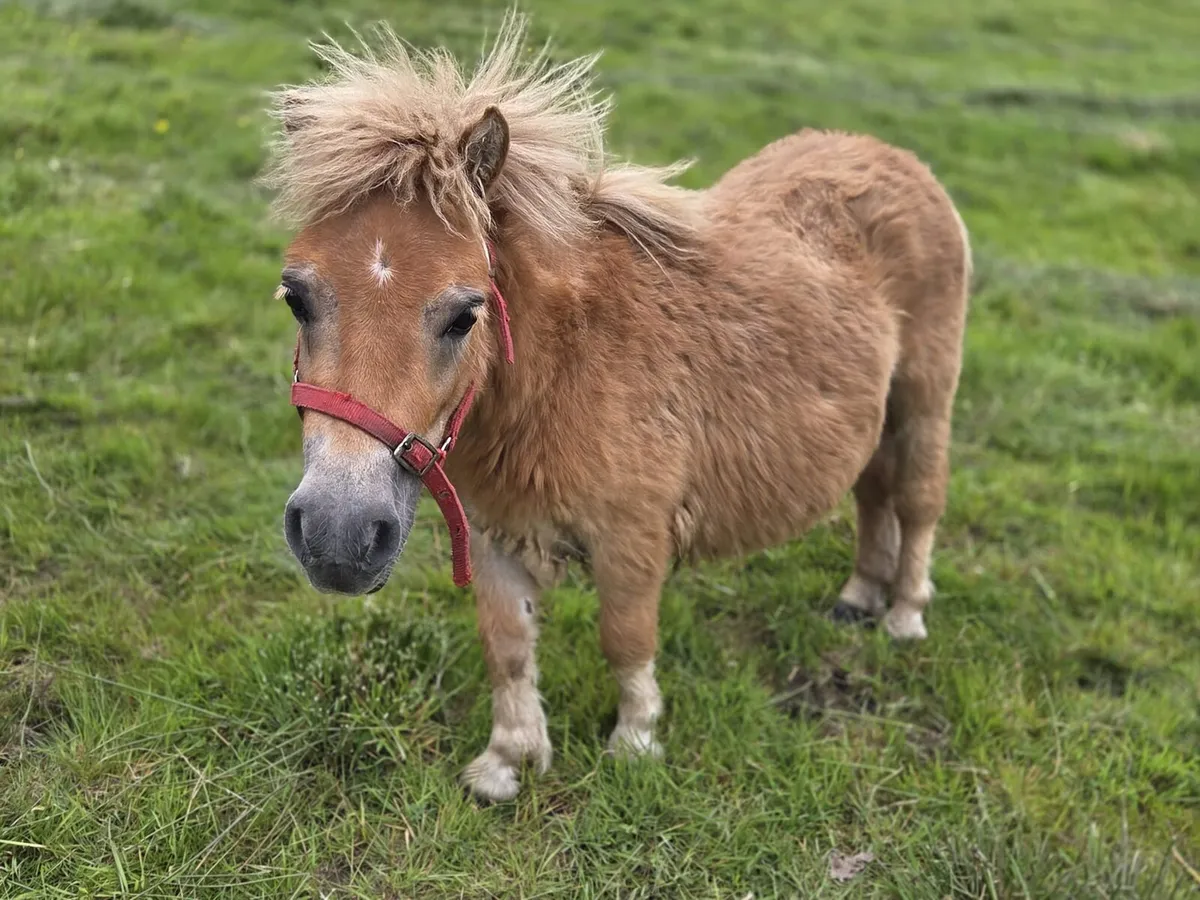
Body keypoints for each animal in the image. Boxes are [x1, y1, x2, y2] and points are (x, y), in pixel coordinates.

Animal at [264, 14, 971, 801]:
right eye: (296, 298)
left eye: (464, 314)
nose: (337, 536)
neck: (562, 378)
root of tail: (894, 159)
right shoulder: (493, 535)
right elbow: (508, 645)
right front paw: (508, 762)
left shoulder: (633, 538)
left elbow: (626, 639)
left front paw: (634, 743)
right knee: (873, 491)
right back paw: (859, 595)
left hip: (925, 401)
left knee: (918, 500)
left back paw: (904, 613)